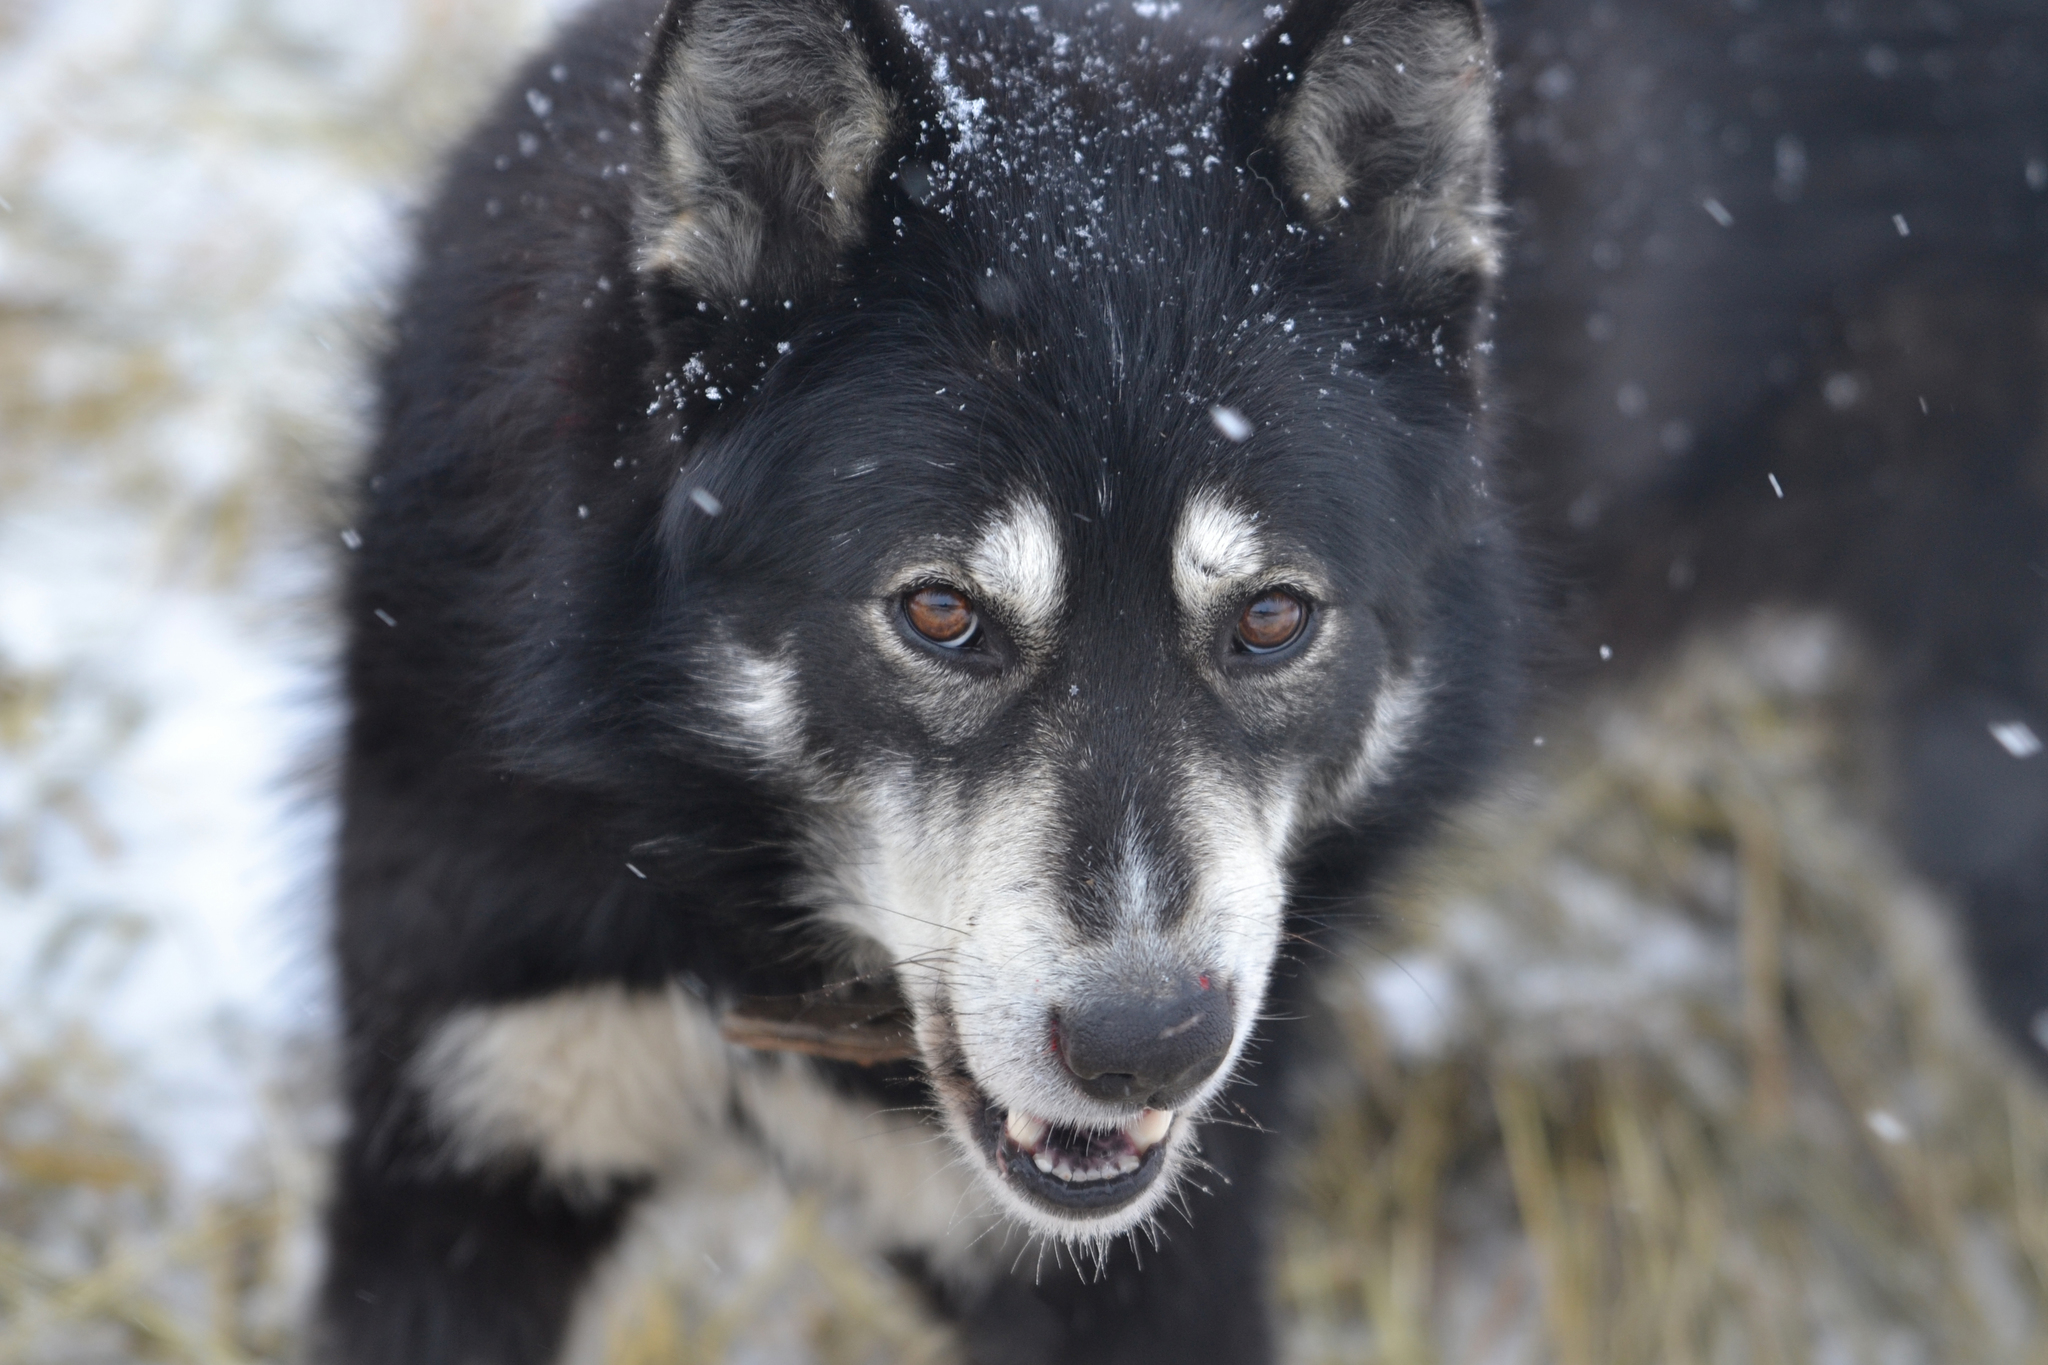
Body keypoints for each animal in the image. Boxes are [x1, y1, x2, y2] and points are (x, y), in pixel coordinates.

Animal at [323, 0, 2048, 1358]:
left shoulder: (1148, 1275)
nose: (1146, 1041)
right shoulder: (458, 1146)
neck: (741, 907)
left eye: (1273, 618)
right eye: (939, 612)